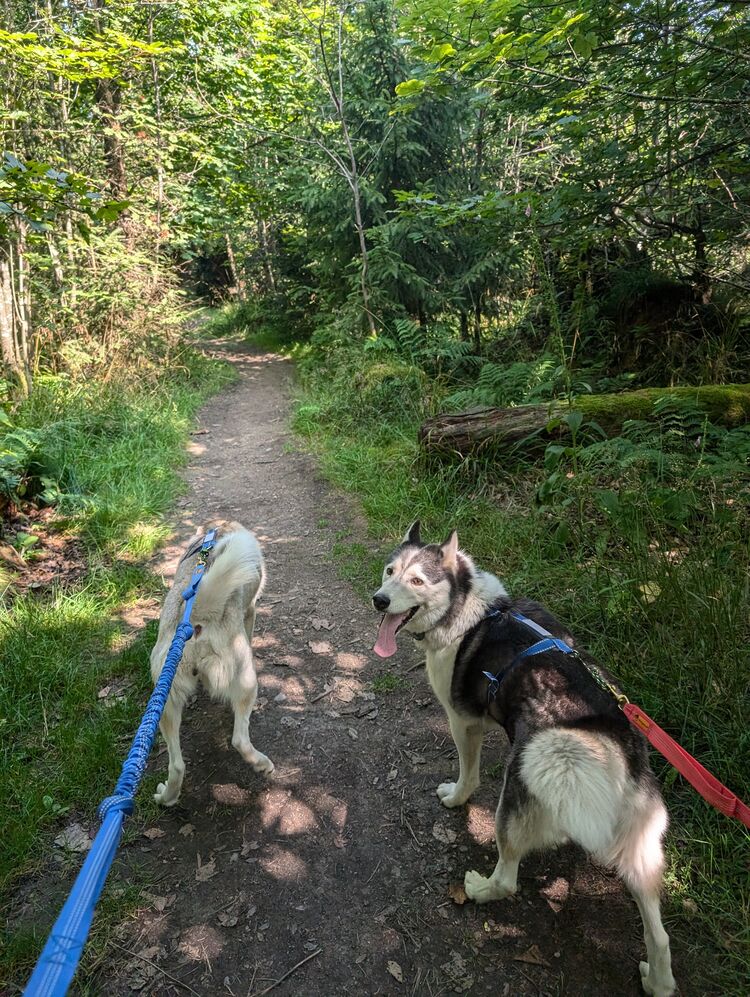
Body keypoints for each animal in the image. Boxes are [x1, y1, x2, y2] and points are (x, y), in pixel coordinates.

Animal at [150, 521, 274, 807]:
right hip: (246, 680)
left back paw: (166, 798)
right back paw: (263, 764)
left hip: (165, 701)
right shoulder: (251, 610)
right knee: (240, 739)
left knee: (177, 766)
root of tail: (197, 616)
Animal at [372, 521, 676, 997]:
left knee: (508, 880)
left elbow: (468, 776)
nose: (379, 600)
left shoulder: (462, 721)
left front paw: (455, 798)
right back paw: (658, 981)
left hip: (517, 795)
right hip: (642, 848)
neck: (467, 611)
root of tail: (605, 746)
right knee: (659, 934)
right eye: (389, 572)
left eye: (417, 581)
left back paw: (478, 888)